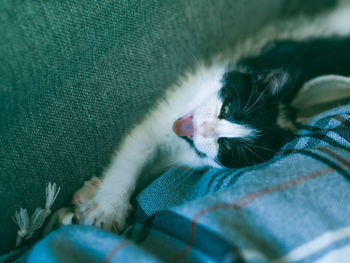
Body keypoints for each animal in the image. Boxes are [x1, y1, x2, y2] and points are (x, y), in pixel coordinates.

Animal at [72, 35, 350, 233]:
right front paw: (107, 208)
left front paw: (100, 202)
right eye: (226, 109)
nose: (203, 129)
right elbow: (138, 151)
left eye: (227, 147)